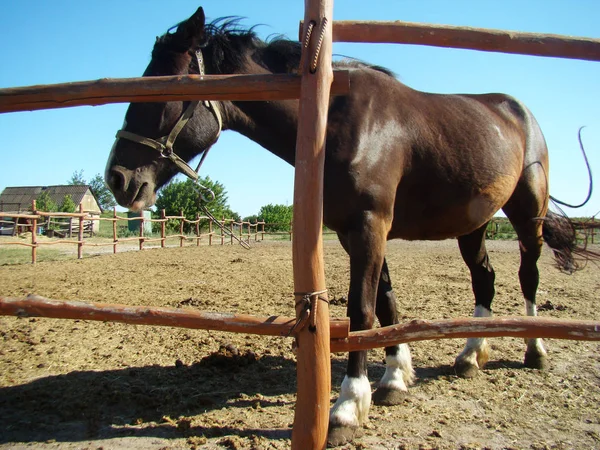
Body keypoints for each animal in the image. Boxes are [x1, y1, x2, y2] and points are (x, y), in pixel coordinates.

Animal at [105, 7, 592, 446]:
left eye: (159, 91)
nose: (118, 179)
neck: (337, 123)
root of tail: (518, 112)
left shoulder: (369, 226)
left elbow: (361, 310)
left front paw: (347, 407)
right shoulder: (357, 231)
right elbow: (387, 305)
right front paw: (394, 378)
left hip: (527, 216)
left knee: (528, 277)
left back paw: (535, 350)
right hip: (473, 224)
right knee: (484, 280)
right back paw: (471, 356)